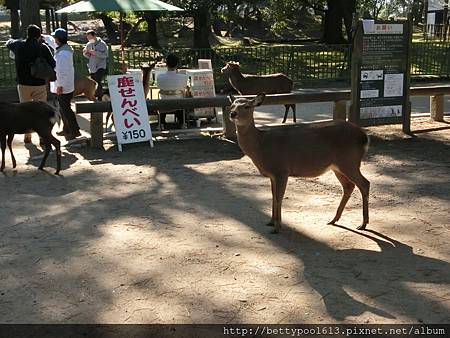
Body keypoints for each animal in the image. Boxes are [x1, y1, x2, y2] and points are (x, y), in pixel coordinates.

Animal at [229, 93, 370, 234]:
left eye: (247, 106)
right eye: (231, 105)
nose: (232, 114)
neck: (261, 146)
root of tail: (364, 137)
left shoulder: (281, 170)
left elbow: (279, 197)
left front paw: (277, 227)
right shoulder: (272, 175)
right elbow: (273, 196)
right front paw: (271, 222)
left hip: (349, 161)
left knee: (364, 183)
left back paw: (363, 224)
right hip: (338, 166)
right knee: (349, 186)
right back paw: (334, 219)